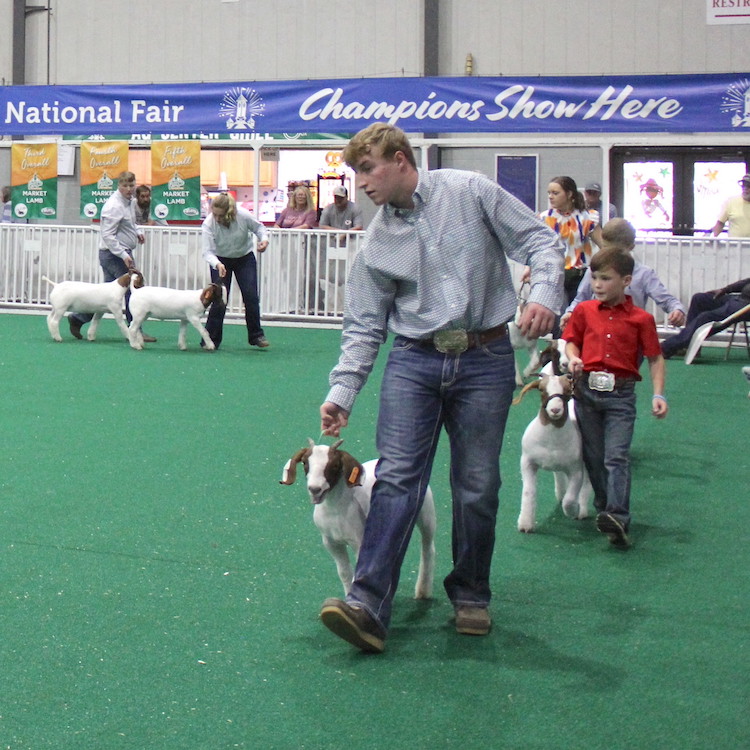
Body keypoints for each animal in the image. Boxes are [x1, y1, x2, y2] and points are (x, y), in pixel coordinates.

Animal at [280, 440, 434, 600]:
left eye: (335, 465)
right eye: (305, 463)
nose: (315, 489)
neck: (336, 510)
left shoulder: (359, 541)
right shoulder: (331, 542)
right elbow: (344, 572)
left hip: (426, 512)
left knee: (428, 547)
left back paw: (423, 589)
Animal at [512, 374, 592, 532]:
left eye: (567, 390)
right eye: (542, 390)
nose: (555, 410)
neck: (551, 438)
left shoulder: (575, 470)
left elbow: (570, 498)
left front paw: (573, 510)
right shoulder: (527, 463)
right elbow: (528, 492)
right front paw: (525, 524)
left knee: (586, 484)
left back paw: (582, 510)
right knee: (559, 474)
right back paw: (560, 493)